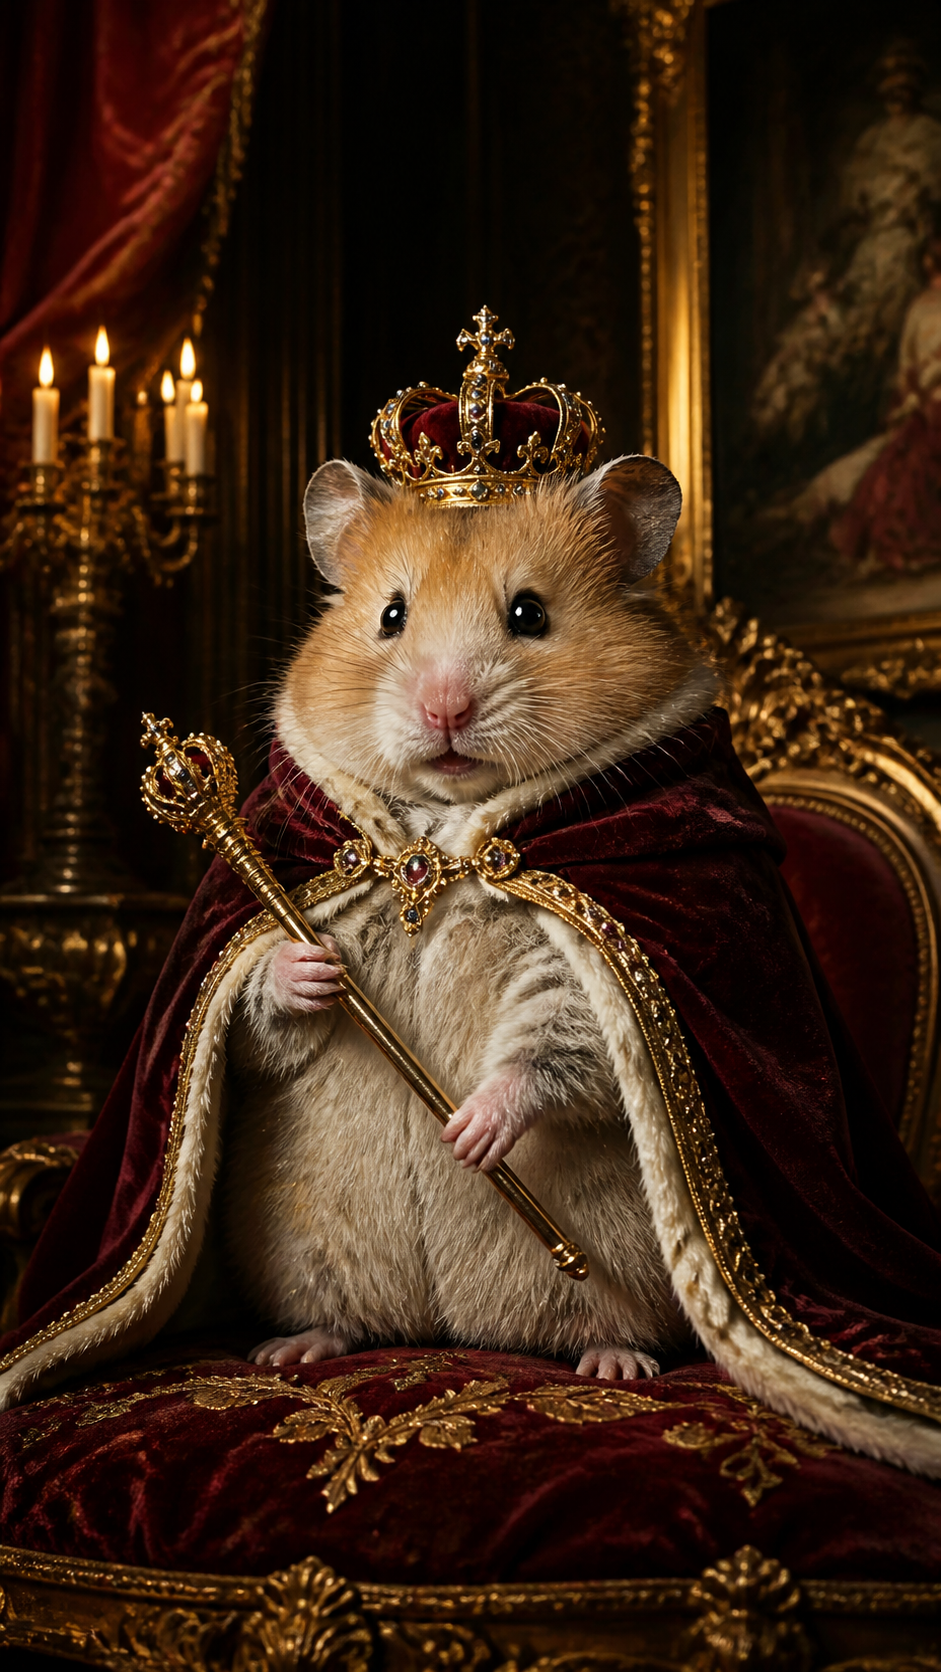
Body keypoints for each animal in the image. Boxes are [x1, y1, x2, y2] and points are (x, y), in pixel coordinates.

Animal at [222, 455, 717, 1379]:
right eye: (390, 614)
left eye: (529, 613)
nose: (443, 710)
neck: (439, 843)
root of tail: (452, 1329)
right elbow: (253, 1014)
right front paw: (306, 969)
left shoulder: (577, 957)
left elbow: (559, 1030)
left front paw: (470, 1133)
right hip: (306, 1244)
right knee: (337, 1311)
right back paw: (291, 1349)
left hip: (621, 1252)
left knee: (609, 1316)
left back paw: (614, 1362)